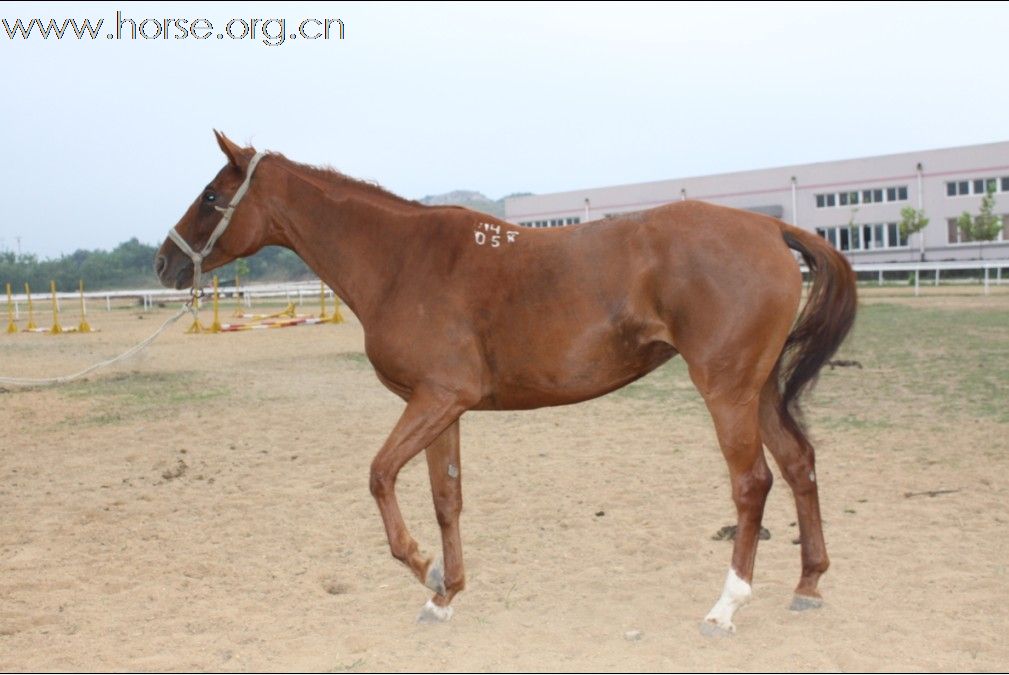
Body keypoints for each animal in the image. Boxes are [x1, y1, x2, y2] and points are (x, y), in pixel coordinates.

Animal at [153, 133, 855, 633]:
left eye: (212, 196)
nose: (163, 263)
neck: (401, 261)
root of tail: (770, 226)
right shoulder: (440, 407)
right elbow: (446, 498)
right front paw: (444, 596)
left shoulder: (437, 399)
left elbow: (379, 475)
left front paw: (423, 566)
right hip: (757, 391)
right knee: (799, 465)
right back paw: (809, 585)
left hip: (726, 390)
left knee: (753, 484)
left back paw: (726, 606)